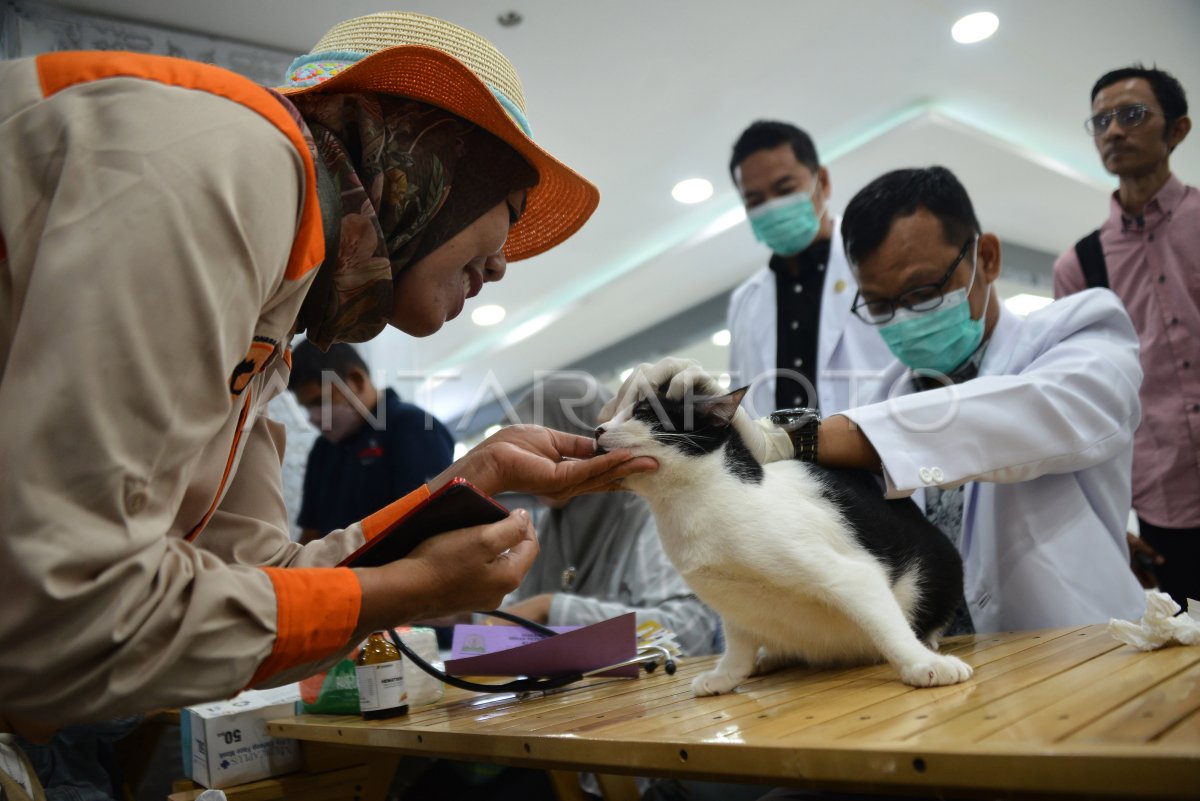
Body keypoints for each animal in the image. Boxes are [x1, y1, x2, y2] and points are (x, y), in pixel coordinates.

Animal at [595, 388, 969, 695]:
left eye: (644, 412)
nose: (598, 430)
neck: (687, 505)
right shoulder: (733, 603)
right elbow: (737, 646)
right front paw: (726, 675)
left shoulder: (852, 576)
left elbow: (889, 628)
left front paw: (922, 665)